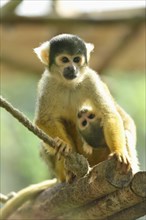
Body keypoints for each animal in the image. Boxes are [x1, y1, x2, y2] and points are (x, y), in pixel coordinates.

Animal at [34, 33, 139, 182]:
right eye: (64, 59)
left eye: (76, 59)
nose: (72, 68)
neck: (70, 84)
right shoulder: (48, 83)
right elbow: (44, 119)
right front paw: (64, 144)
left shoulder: (90, 79)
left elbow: (109, 114)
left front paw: (118, 152)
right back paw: (68, 172)